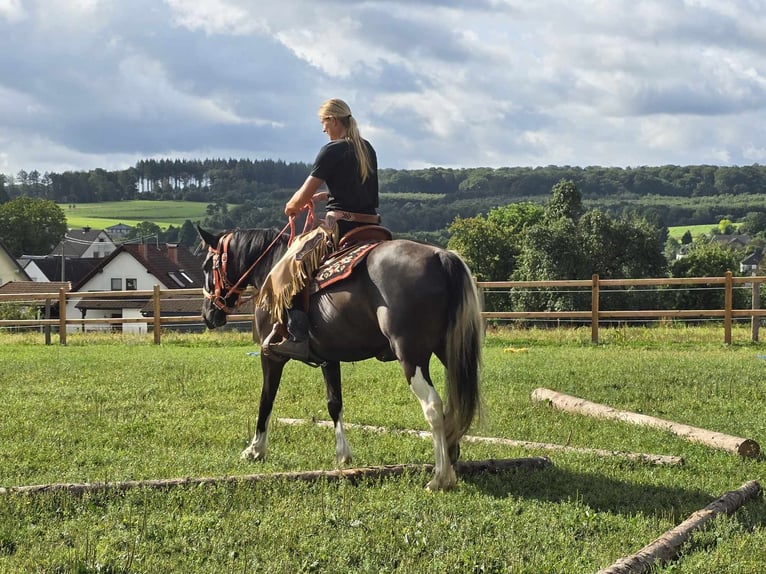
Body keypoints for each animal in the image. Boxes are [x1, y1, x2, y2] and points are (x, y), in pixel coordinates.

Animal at [200, 227, 486, 492]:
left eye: (206, 266)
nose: (208, 314)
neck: (272, 267)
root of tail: (441, 255)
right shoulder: (329, 358)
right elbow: (334, 403)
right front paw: (343, 455)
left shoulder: (270, 355)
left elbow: (266, 400)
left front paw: (255, 450)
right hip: (450, 352)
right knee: (453, 407)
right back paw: (451, 457)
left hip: (412, 356)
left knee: (433, 406)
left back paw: (441, 477)